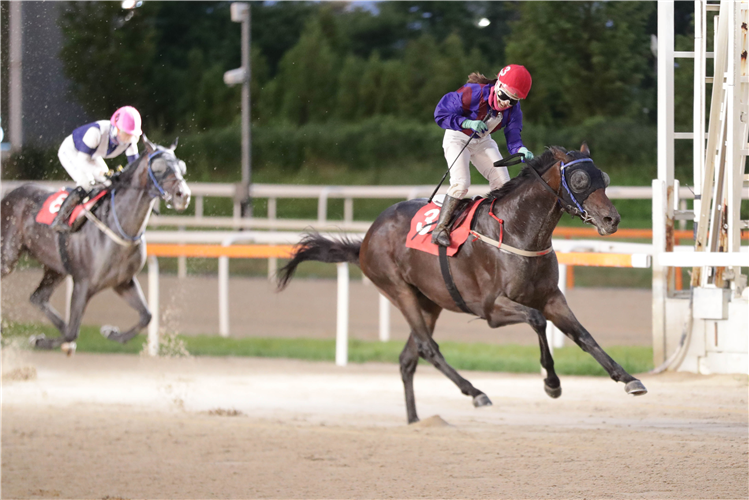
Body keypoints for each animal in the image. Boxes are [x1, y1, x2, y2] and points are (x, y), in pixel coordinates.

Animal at [278, 146, 644, 426]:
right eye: (580, 181)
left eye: (605, 179)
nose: (612, 219)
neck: (518, 231)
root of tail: (366, 239)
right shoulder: (492, 308)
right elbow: (537, 321)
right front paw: (552, 383)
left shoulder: (551, 297)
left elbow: (583, 335)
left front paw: (628, 379)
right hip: (398, 290)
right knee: (428, 348)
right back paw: (476, 393)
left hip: (429, 301)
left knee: (408, 357)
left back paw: (415, 420)